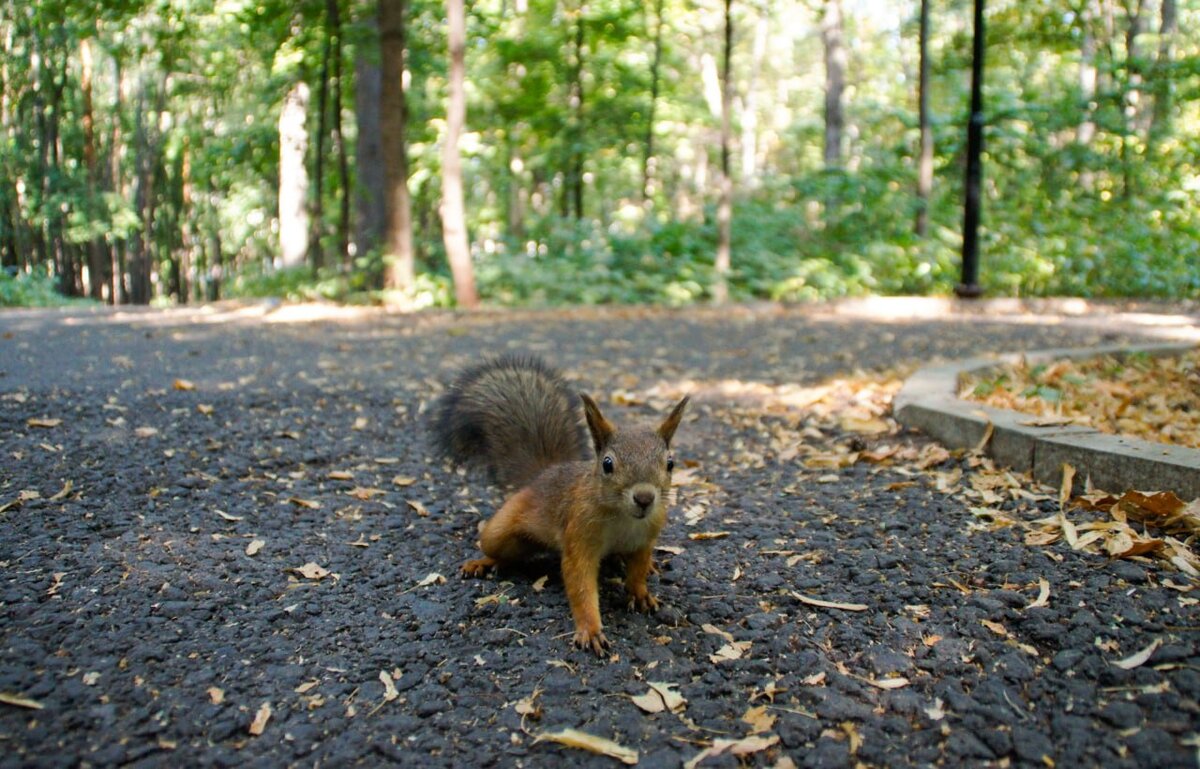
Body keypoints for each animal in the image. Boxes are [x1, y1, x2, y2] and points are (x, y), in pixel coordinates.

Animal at [436, 355, 691, 652]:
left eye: (670, 463)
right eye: (607, 464)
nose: (644, 498)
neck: (623, 518)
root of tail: (541, 475)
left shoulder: (644, 538)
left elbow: (637, 569)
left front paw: (640, 592)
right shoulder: (579, 535)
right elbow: (580, 583)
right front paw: (590, 629)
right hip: (500, 530)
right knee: (499, 548)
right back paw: (483, 562)